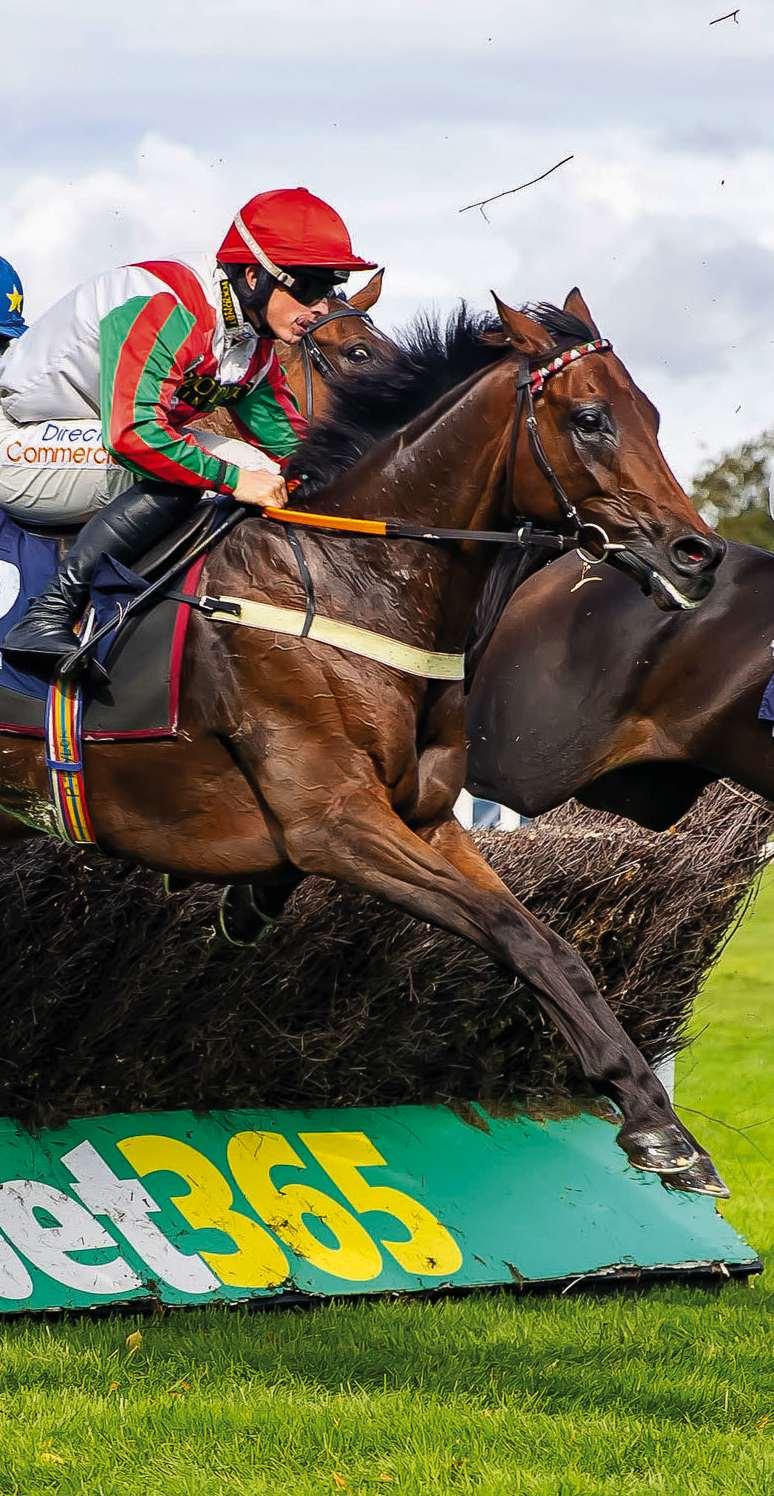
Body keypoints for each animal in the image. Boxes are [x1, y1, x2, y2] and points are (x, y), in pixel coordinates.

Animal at [0, 289, 727, 1195]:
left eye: (653, 414)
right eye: (590, 418)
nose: (698, 555)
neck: (345, 576)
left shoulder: (424, 820)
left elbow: (557, 950)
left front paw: (660, 1123)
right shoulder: (337, 823)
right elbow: (512, 932)